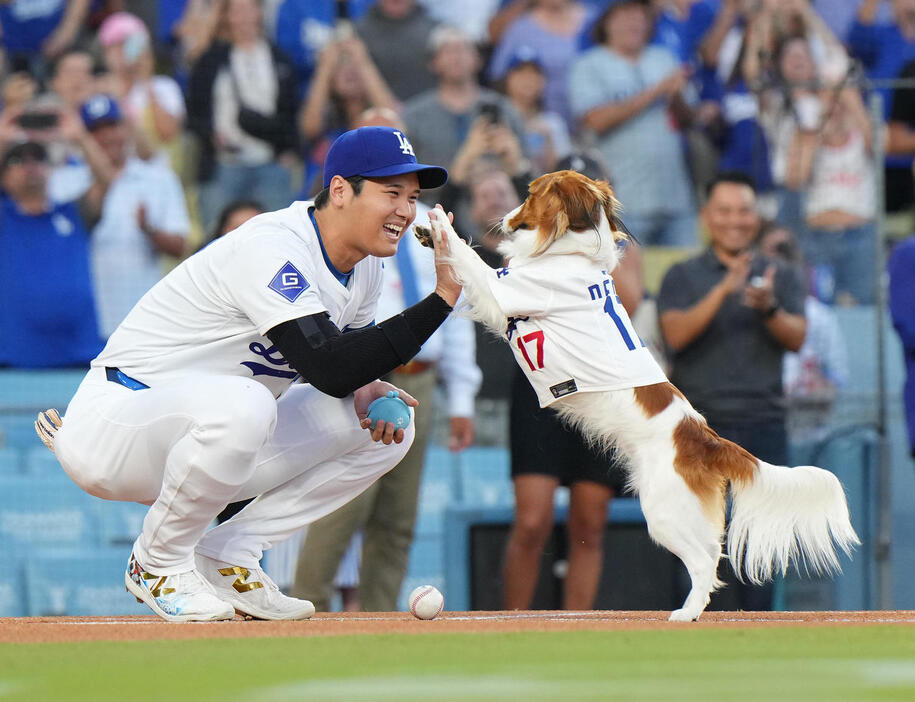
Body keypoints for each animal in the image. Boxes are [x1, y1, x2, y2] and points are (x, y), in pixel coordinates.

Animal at [422, 170, 860, 620]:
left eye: (529, 194)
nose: (503, 217)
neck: (571, 252)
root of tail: (705, 439)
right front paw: (425, 232)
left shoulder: (503, 293)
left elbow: (471, 260)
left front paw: (438, 224)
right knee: (710, 555)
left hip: (663, 511)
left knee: (704, 562)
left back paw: (685, 613)